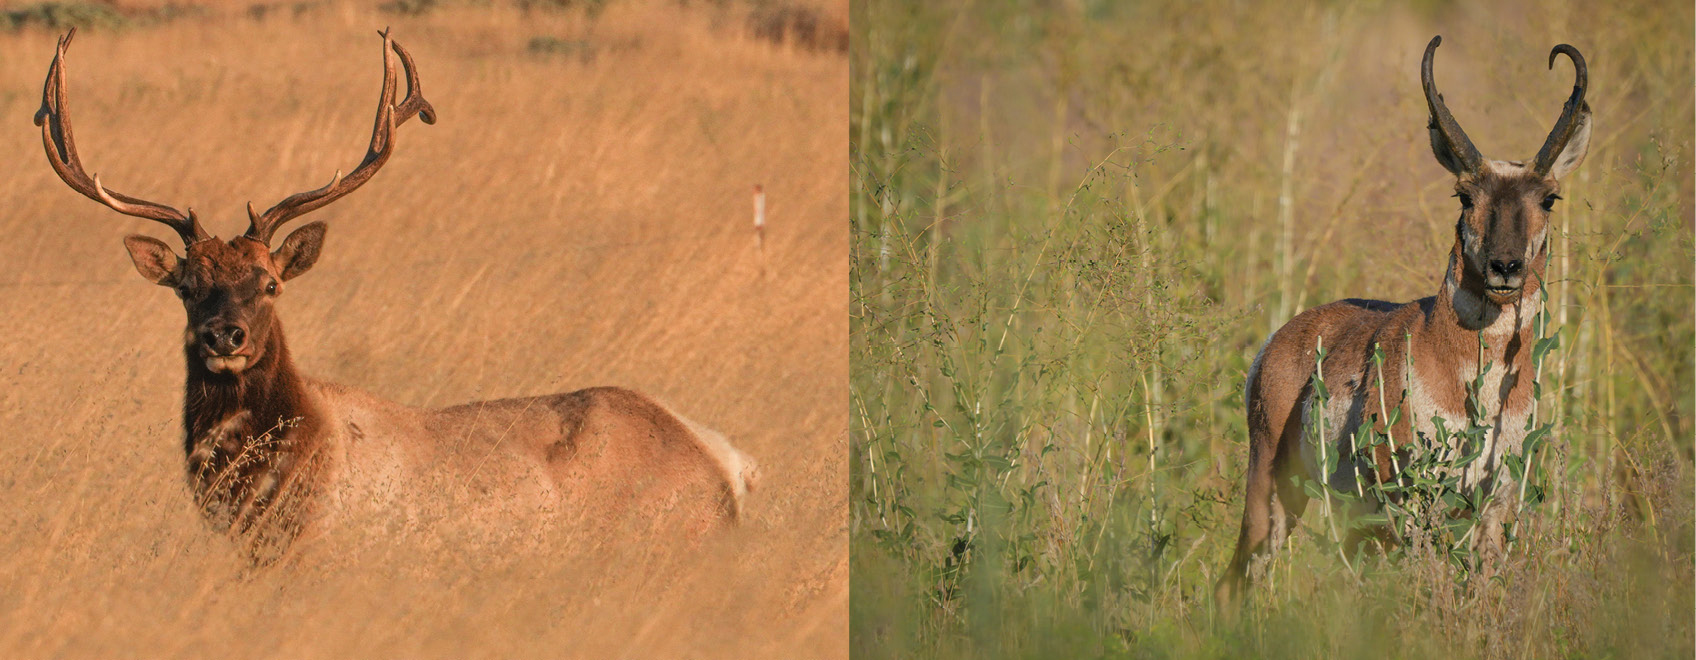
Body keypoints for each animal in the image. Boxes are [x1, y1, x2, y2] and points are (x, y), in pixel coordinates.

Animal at [1214, 36, 1590, 607]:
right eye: (1464, 194)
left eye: (1549, 197)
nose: (1505, 267)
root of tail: (1281, 340)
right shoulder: (1414, 506)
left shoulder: (1495, 504)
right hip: (1272, 491)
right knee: (1236, 580)